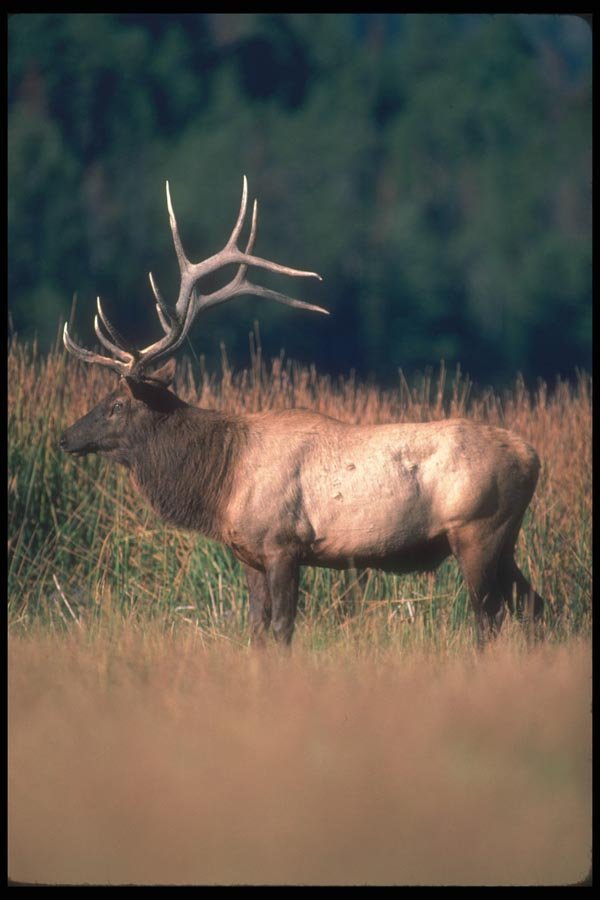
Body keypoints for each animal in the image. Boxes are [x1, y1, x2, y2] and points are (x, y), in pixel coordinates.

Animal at [60, 176, 545, 647]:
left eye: (117, 404)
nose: (65, 436)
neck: (222, 483)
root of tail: (532, 456)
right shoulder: (250, 554)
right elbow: (255, 628)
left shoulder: (283, 544)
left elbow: (282, 627)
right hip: (504, 540)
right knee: (533, 604)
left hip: (478, 530)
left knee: (489, 617)